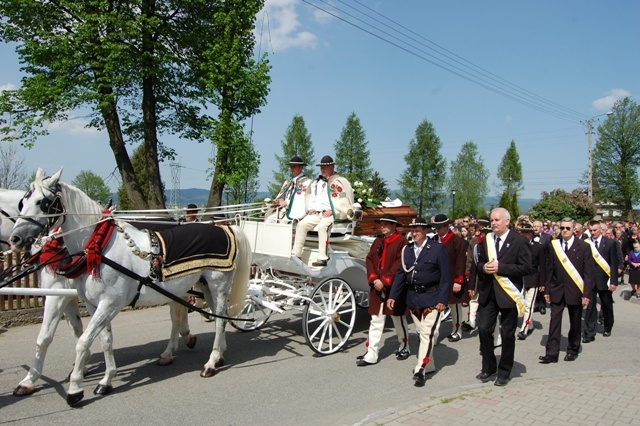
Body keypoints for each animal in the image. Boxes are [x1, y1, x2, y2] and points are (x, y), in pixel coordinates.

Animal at [10, 168, 250, 404]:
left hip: (218, 285)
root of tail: (225, 228)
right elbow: (103, 340)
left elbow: (83, 341)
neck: (100, 246)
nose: (16, 238)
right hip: (200, 286)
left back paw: (210, 363)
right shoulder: (93, 305)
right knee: (201, 317)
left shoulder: (109, 303)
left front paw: (75, 388)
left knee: (219, 319)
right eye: (23, 202)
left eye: (42, 202)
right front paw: (106, 380)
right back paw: (212, 354)